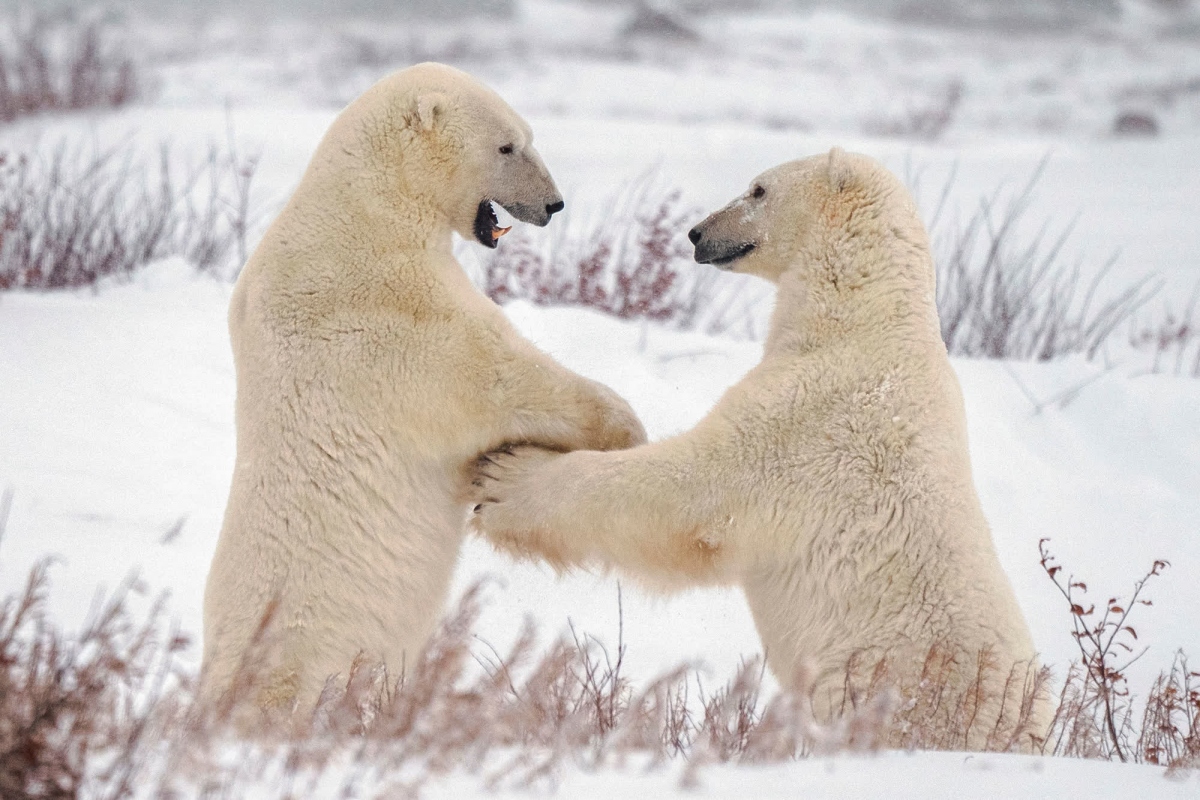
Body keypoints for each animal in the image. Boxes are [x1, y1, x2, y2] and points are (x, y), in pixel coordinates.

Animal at [204, 65, 648, 724]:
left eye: (526, 136)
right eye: (508, 146)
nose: (553, 204)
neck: (364, 213)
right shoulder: (389, 311)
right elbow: (494, 377)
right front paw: (624, 428)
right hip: (308, 652)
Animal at [472, 151, 1046, 753]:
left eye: (758, 189)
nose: (697, 233)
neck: (868, 320)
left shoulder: (810, 421)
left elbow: (690, 492)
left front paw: (506, 477)